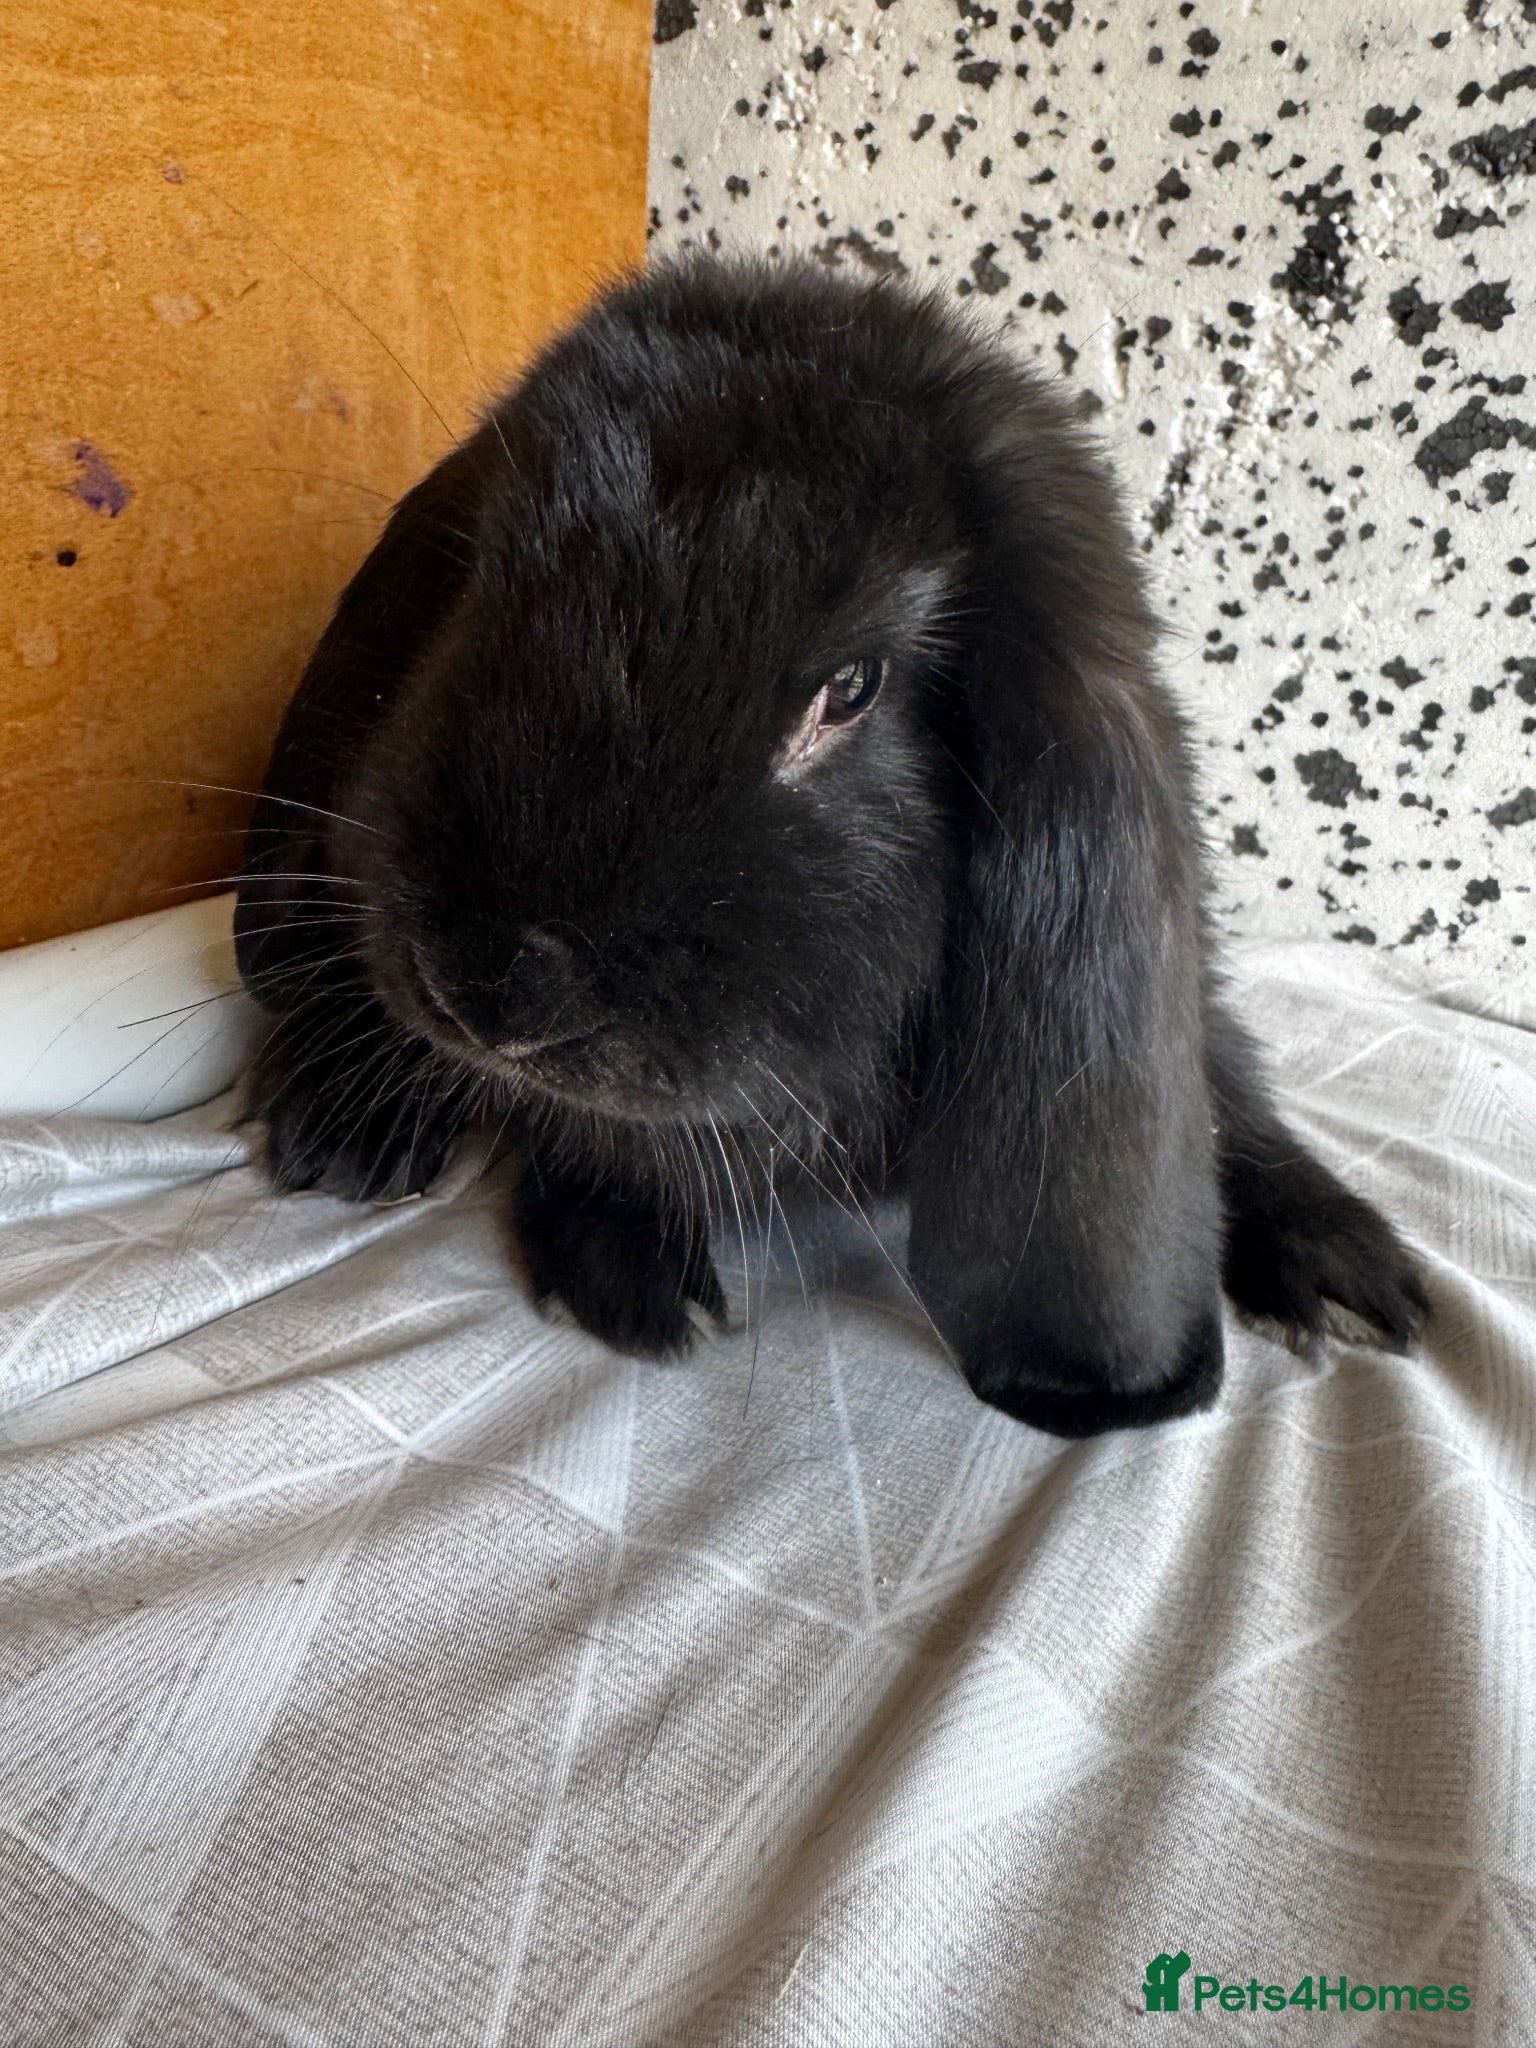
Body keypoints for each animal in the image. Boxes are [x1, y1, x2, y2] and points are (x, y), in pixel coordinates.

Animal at [233, 254, 1428, 1437]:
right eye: (481, 580)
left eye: (852, 686)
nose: (490, 989)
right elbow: (598, 1138)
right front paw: (636, 1278)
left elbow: (1228, 1101)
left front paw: (1347, 1271)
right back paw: (354, 1132)